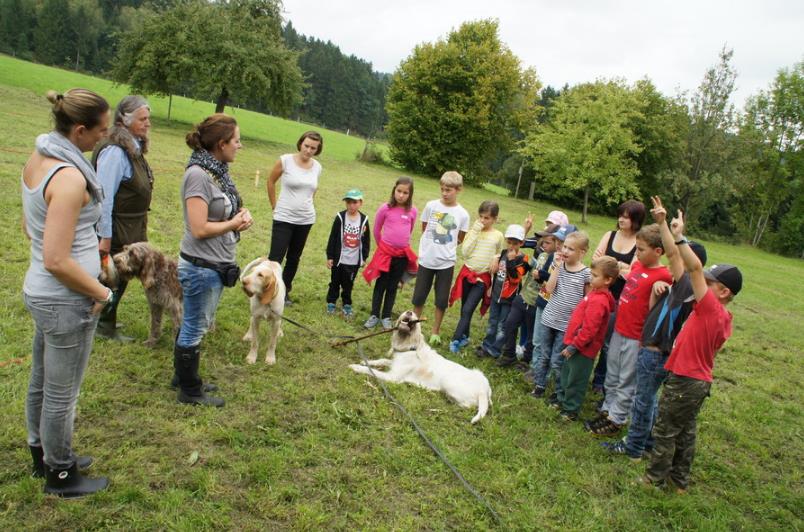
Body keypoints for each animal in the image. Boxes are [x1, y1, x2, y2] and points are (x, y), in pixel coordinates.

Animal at [348, 310, 494, 422]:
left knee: (467, 405)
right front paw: (366, 361)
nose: (410, 312)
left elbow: (371, 371)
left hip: (449, 383)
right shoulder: (393, 364)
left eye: (415, 316)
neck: (409, 347)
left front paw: (356, 367)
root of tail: (484, 390)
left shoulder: (393, 377)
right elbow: (381, 360)